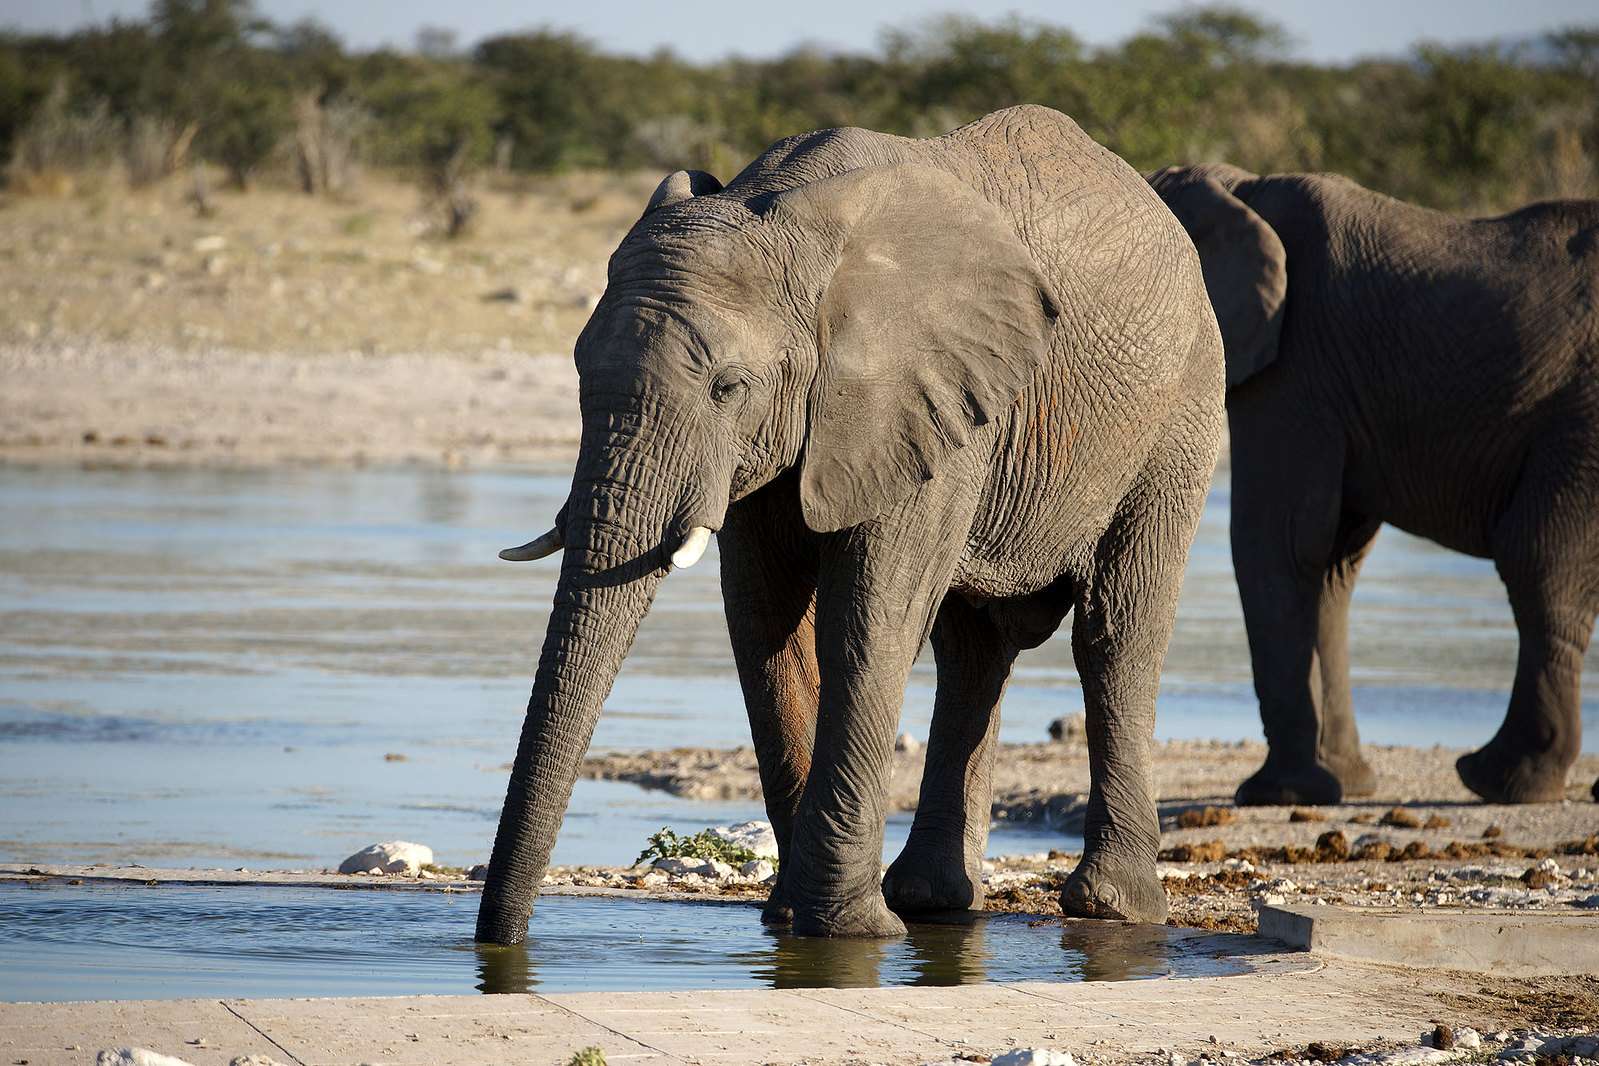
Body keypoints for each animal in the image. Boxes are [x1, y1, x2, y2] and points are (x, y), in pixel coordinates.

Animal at [474, 105, 1224, 946]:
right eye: (578, 372)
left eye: (728, 386)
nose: (500, 944)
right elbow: (763, 620)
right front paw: (792, 919)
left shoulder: (914, 395)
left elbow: (867, 617)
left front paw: (844, 930)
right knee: (972, 650)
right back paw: (934, 899)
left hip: (1180, 411)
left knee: (1114, 636)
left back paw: (1110, 909)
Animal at [1148, 163, 1599, 807]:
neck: (1242, 189)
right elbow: (1332, 563)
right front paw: (1346, 783)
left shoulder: (1295, 366)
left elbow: (1278, 543)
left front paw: (1280, 794)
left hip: (1578, 417)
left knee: (1540, 563)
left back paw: (1500, 781)